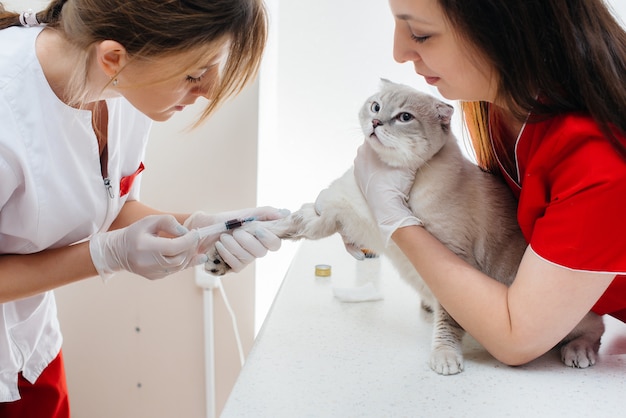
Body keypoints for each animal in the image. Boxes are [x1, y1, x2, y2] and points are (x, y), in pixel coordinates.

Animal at [207, 81, 604, 376]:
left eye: (404, 117)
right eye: (376, 107)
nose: (376, 124)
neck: (389, 177)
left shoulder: (453, 257)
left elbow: (448, 323)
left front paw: (445, 356)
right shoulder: (330, 213)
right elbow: (276, 228)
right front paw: (220, 258)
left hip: (567, 316)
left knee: (594, 328)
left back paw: (578, 352)